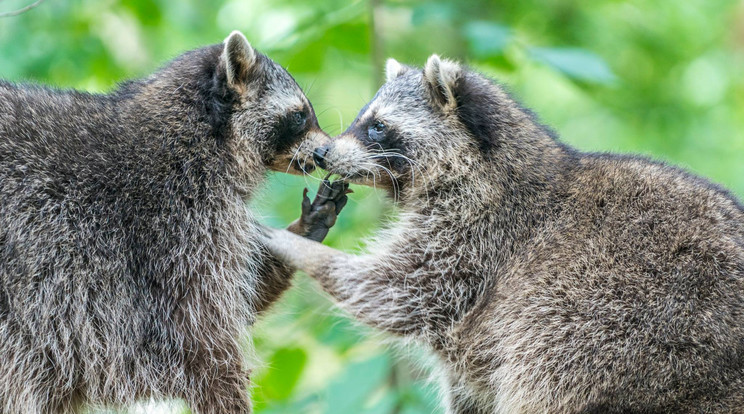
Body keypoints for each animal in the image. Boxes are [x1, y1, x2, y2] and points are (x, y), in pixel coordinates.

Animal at [260, 55, 744, 414]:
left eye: (377, 125)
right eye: (364, 118)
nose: (323, 152)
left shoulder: (482, 236)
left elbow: (398, 289)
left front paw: (297, 246)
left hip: (621, 330)